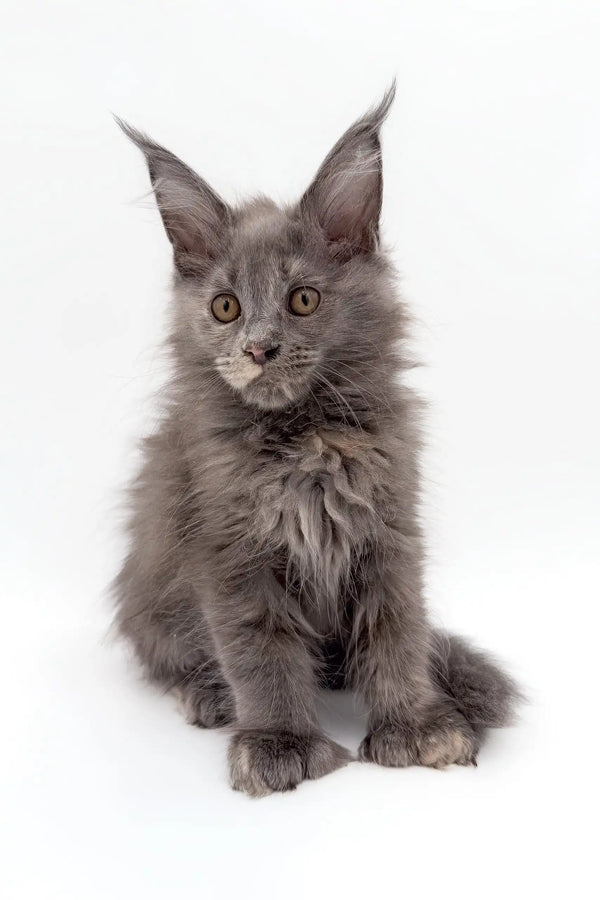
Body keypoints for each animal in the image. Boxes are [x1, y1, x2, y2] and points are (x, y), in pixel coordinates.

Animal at [113, 88, 520, 800]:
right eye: (225, 307)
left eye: (303, 300)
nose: (258, 348)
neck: (308, 441)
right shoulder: (230, 552)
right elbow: (261, 653)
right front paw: (281, 743)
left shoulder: (388, 532)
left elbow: (396, 634)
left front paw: (417, 726)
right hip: (153, 603)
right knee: (174, 658)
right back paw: (207, 694)